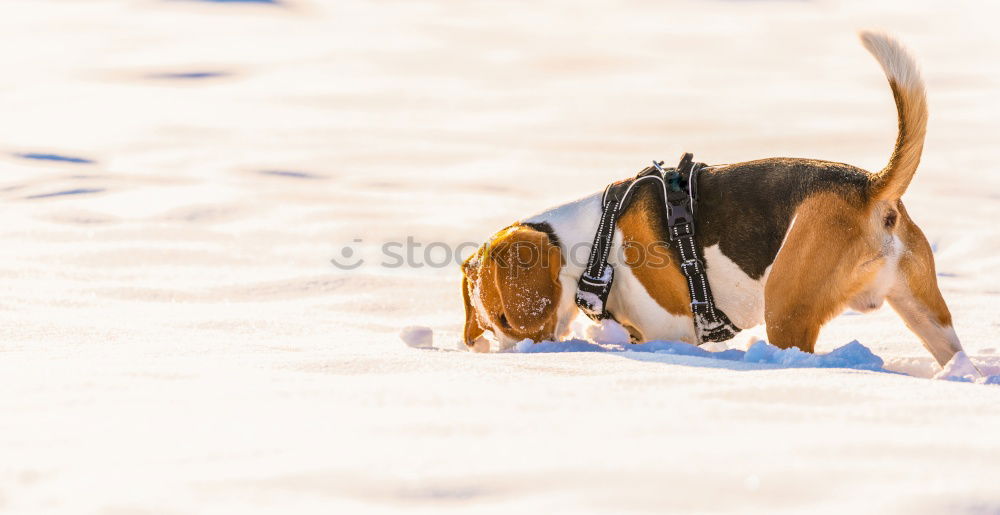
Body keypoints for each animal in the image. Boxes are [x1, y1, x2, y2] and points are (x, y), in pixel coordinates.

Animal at [462, 31, 968, 366]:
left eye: (507, 319)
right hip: (925, 312)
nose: (517, 353)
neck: (595, 247)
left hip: (786, 307)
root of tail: (869, 186)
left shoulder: (669, 330)